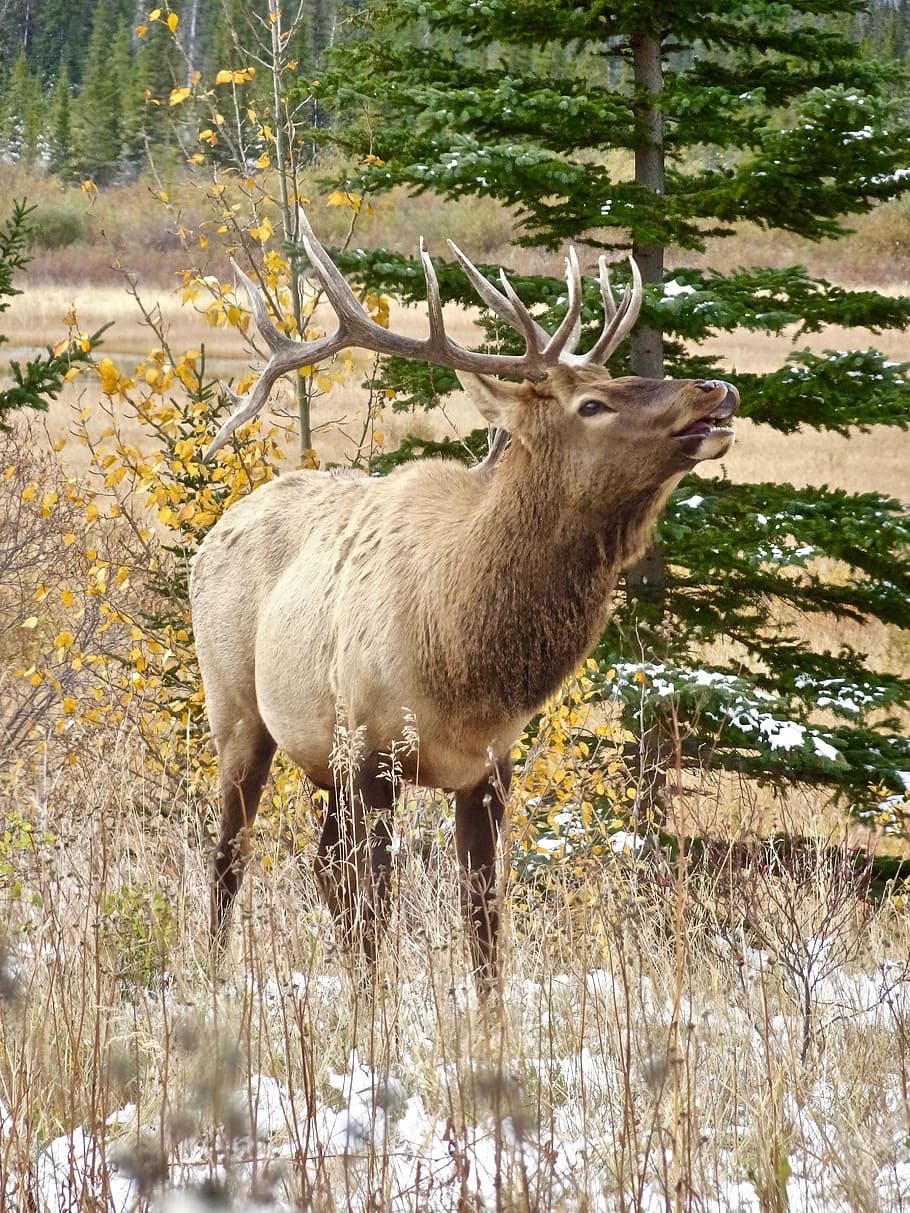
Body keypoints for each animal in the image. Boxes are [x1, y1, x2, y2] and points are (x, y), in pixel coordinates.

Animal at [190, 209, 739, 983]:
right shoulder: (373, 753)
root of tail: (213, 533)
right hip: (238, 710)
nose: (714, 389)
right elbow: (377, 912)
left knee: (321, 865)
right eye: (592, 403)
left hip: (319, 757)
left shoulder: (488, 768)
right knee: (230, 857)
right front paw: (373, 1008)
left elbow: (483, 924)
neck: (464, 664)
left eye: (607, 376)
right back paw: (212, 974)